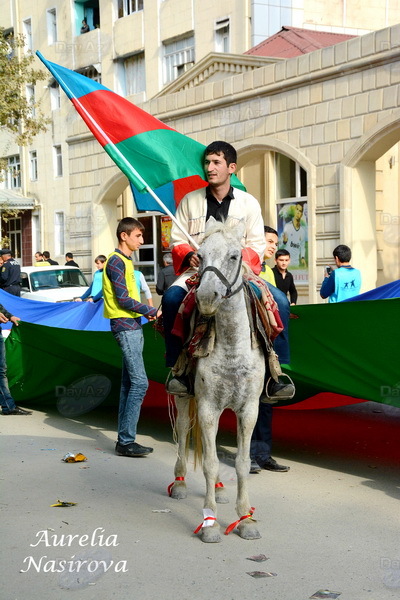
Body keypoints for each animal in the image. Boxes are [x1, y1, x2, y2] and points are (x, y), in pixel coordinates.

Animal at [169, 220, 266, 544]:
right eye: (199, 255)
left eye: (235, 256)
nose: (206, 297)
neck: (232, 345)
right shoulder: (208, 407)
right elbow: (210, 464)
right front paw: (209, 523)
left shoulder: (248, 410)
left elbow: (242, 463)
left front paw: (246, 519)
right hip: (186, 398)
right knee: (183, 430)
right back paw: (180, 483)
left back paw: (222, 491)